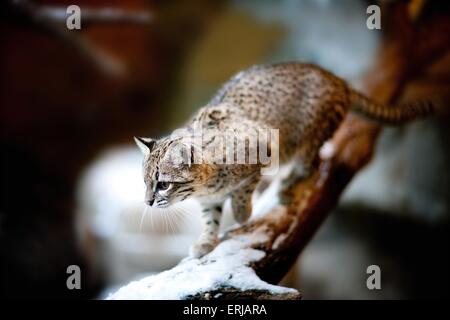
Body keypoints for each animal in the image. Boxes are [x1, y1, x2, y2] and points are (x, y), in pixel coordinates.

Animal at [134, 62, 436, 258]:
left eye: (163, 184)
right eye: (146, 183)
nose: (147, 203)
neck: (203, 186)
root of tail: (334, 77)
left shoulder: (262, 150)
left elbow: (243, 190)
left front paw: (242, 213)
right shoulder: (209, 199)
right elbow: (211, 218)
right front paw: (206, 241)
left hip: (308, 140)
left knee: (314, 165)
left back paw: (287, 185)